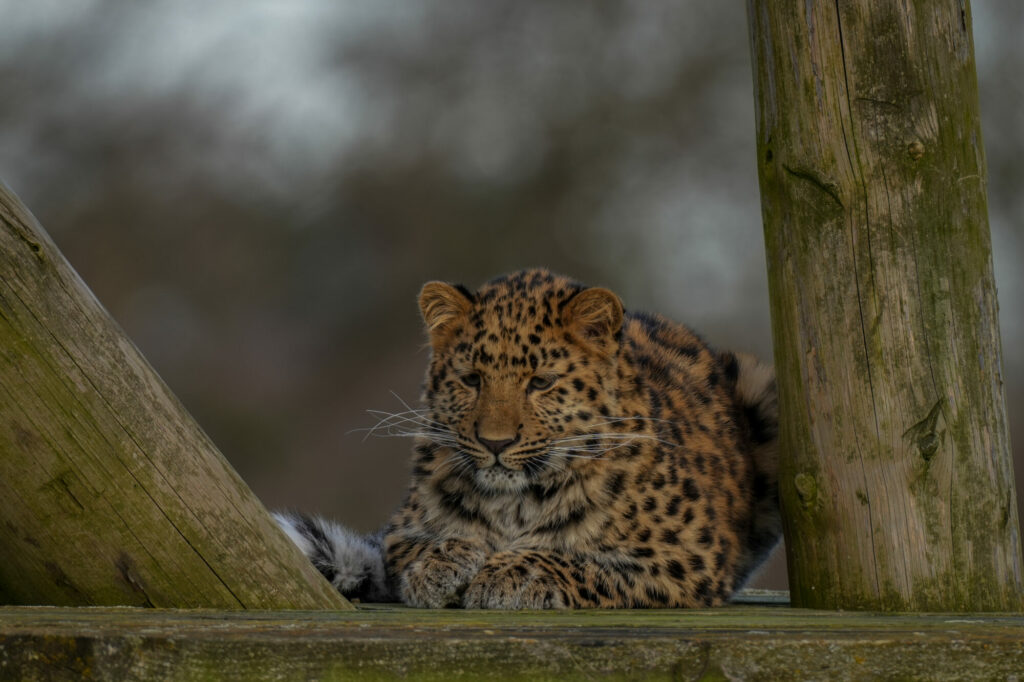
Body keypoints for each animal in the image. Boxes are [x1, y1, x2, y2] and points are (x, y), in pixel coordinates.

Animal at [278, 268, 780, 608]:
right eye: (472, 379)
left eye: (541, 382)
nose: (495, 442)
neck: (515, 504)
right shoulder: (403, 530)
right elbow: (416, 545)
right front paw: (440, 563)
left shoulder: (686, 556)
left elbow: (574, 558)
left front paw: (514, 573)